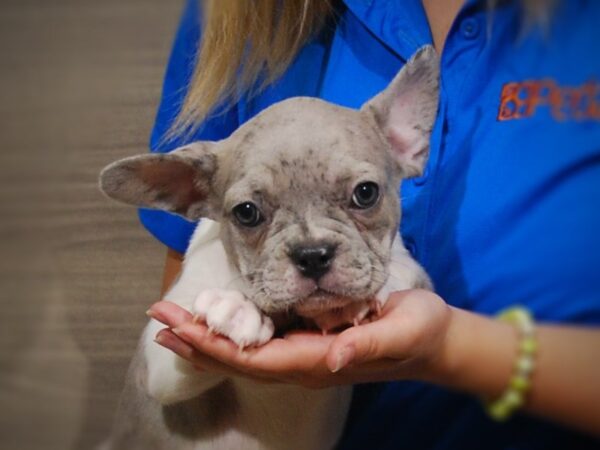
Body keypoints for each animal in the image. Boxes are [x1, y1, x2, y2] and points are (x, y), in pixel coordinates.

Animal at [99, 44, 440, 448]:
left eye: (366, 193)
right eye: (247, 213)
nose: (312, 255)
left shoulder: (412, 267)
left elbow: (397, 269)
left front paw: (364, 296)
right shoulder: (159, 363)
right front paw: (233, 306)